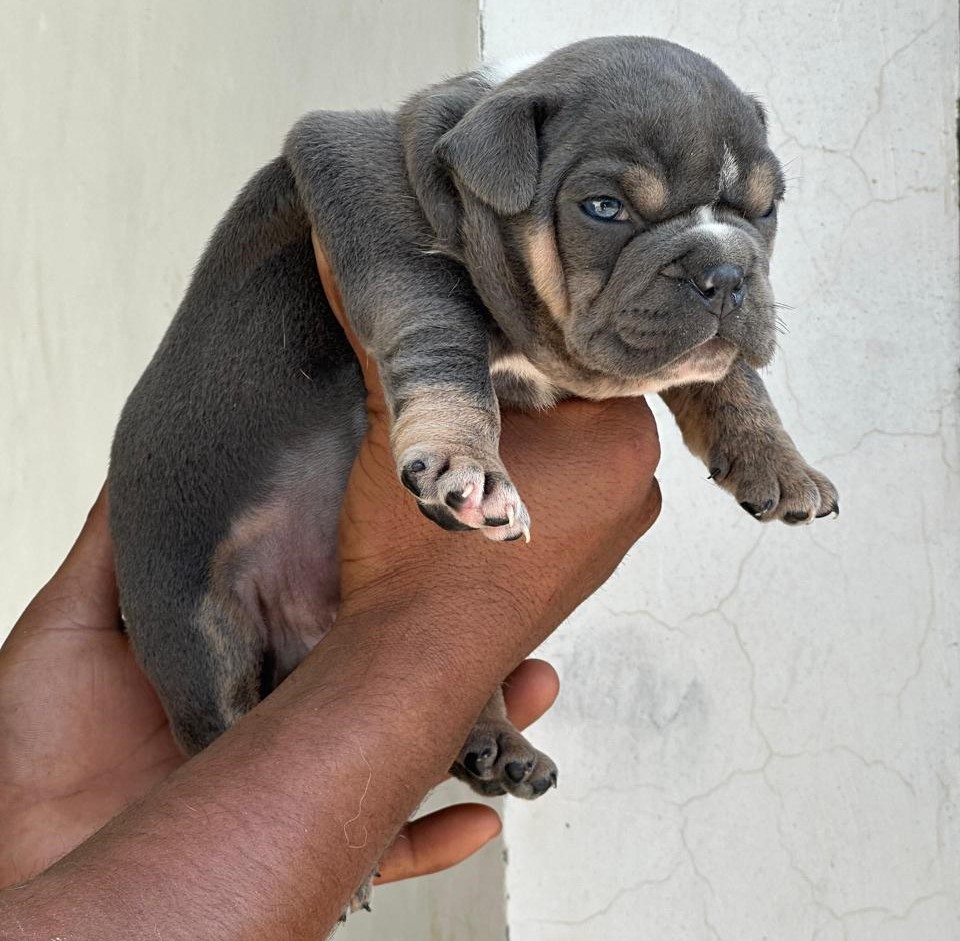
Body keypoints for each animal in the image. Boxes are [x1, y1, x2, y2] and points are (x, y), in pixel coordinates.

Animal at [109, 36, 836, 840]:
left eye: (765, 209)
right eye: (604, 208)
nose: (727, 273)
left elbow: (726, 372)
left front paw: (777, 457)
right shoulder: (367, 194)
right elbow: (438, 318)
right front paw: (469, 464)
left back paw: (495, 744)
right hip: (193, 624)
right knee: (220, 715)